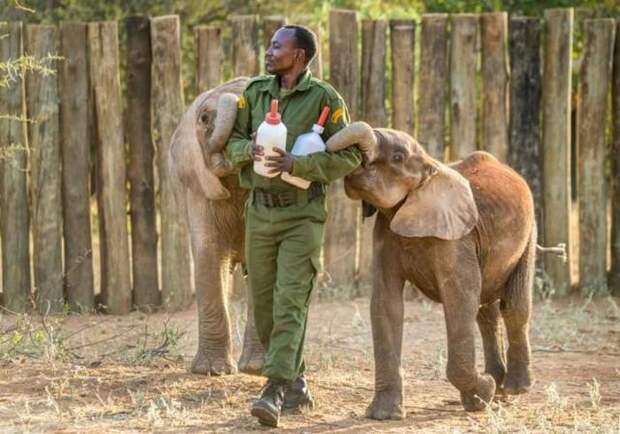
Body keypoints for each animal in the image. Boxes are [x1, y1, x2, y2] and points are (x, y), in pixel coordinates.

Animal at [326, 122, 536, 418]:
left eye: (398, 157)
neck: (429, 167)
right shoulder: (386, 232)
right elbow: (386, 304)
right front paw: (383, 416)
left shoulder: (456, 237)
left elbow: (460, 300)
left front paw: (482, 394)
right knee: (486, 311)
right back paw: (499, 387)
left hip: (529, 231)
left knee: (514, 305)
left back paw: (514, 389)